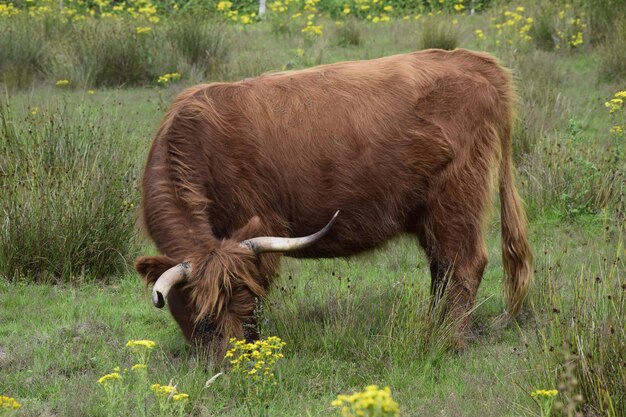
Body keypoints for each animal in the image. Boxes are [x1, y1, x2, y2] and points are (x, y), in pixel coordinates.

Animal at [134, 48, 528, 354]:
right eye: (203, 318)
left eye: (240, 307)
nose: (233, 362)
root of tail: (472, 60)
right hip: (429, 213)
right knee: (441, 267)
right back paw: (431, 326)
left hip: (456, 197)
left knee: (464, 265)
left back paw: (449, 341)